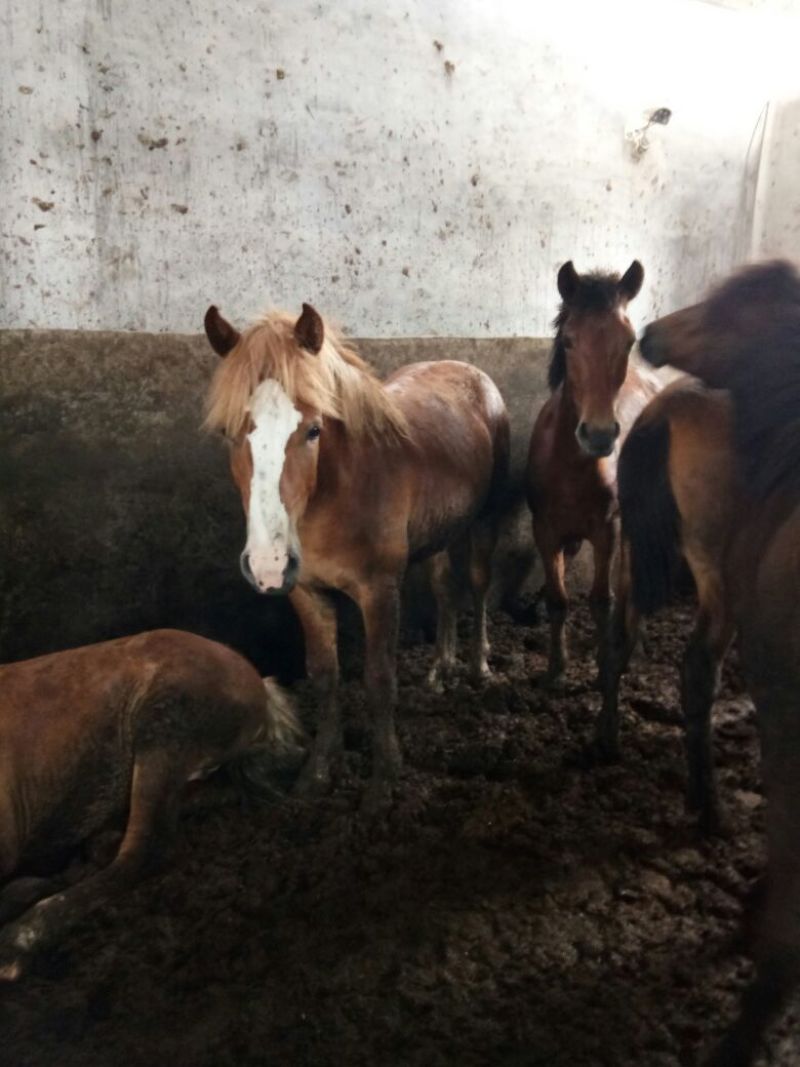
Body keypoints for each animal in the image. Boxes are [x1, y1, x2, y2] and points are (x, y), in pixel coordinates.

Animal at [203, 302, 510, 808]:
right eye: (230, 433)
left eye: (313, 430)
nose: (268, 564)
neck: (338, 492)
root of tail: (471, 372)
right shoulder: (306, 592)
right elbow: (325, 676)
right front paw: (316, 775)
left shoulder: (379, 592)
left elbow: (379, 678)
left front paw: (383, 783)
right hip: (439, 535)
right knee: (445, 591)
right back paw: (440, 670)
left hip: (485, 520)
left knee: (481, 587)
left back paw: (478, 666)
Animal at [525, 260, 658, 685]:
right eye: (569, 340)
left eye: (629, 341)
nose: (599, 435)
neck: (571, 466)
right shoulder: (545, 530)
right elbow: (558, 599)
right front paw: (555, 669)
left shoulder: (606, 529)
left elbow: (601, 600)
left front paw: (604, 670)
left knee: (632, 578)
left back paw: (631, 644)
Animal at [592, 378, 738, 835]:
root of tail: (661, 416)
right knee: (699, 667)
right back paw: (709, 808)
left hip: (634, 550)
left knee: (618, 640)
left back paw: (605, 741)